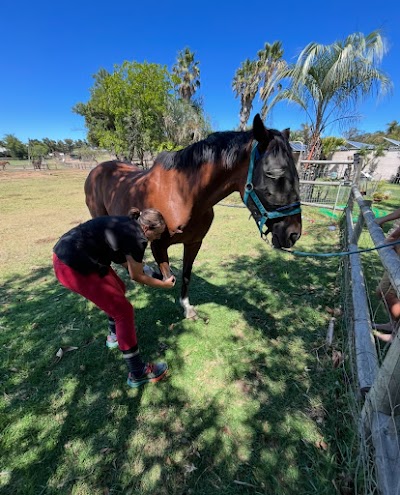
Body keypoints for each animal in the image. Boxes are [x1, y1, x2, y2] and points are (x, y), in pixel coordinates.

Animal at [84, 114, 302, 318]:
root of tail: (96, 170)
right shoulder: (158, 245)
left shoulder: (194, 243)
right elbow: (167, 277)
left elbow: (186, 275)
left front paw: (187, 307)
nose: (294, 233)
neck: (182, 195)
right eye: (274, 174)